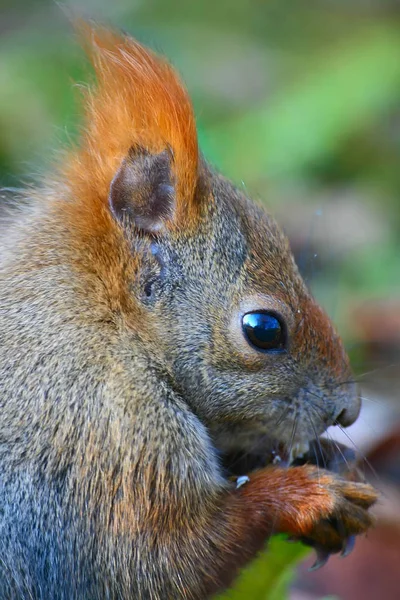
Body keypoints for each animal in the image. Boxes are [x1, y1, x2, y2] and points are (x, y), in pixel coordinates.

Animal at [0, 23, 378, 600]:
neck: (116, 323)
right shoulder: (108, 434)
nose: (348, 412)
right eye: (264, 329)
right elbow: (159, 561)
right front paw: (305, 497)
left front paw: (328, 456)